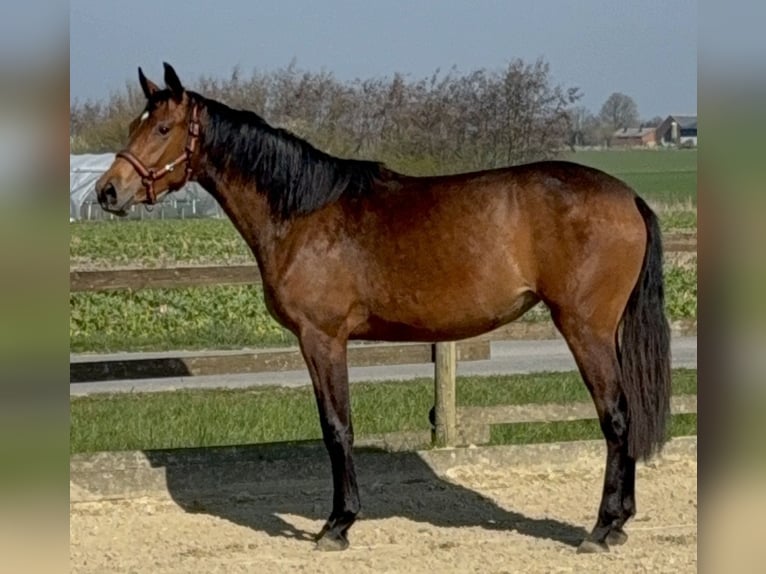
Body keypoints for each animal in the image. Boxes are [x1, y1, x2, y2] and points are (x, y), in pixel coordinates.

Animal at [95, 63, 671, 554]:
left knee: (616, 416)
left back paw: (601, 528)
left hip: (585, 329)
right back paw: (619, 523)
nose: (107, 191)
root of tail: (629, 198)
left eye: (162, 128)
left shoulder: (322, 338)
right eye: (136, 124)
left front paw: (337, 525)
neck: (302, 212)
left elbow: (337, 426)